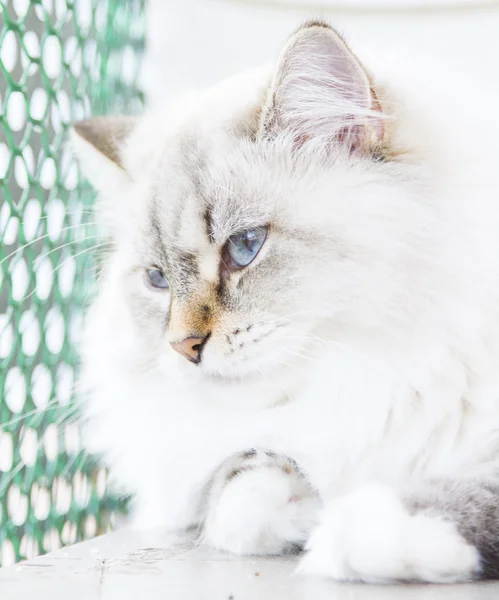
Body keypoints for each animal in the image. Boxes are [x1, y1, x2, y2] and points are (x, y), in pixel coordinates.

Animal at [71, 22, 499, 580]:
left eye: (245, 246)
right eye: (157, 280)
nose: (182, 347)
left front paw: (357, 531)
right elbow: (239, 495)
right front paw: (308, 509)